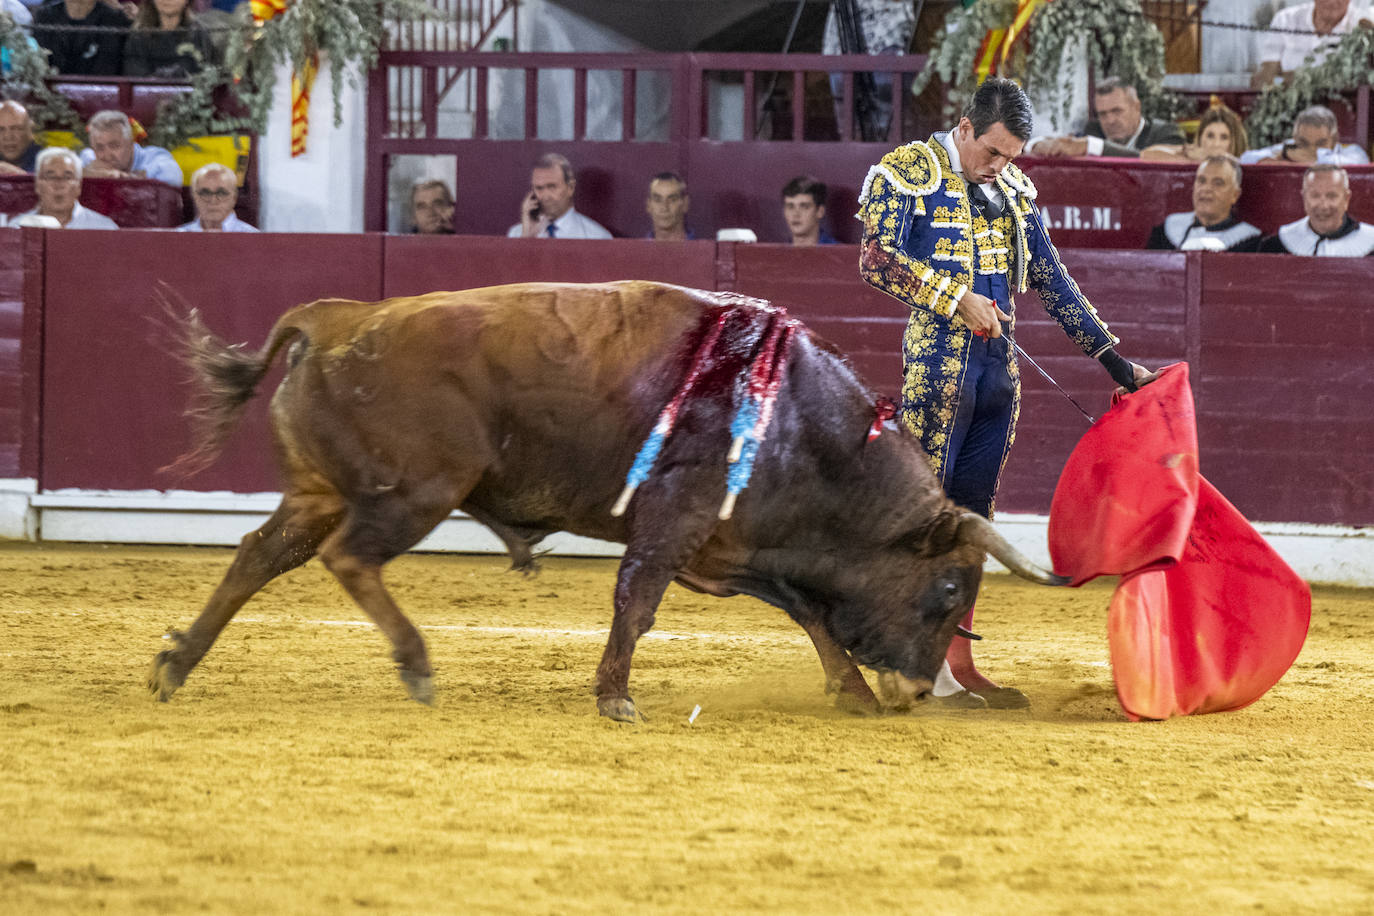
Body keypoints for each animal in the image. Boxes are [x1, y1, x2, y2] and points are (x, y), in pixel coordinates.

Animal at [147, 282, 1060, 719]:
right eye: (949, 589)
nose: (917, 691)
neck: (803, 422)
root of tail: (335, 320)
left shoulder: (727, 545)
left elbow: (806, 611)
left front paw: (854, 693)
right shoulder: (675, 523)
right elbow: (638, 601)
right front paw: (616, 697)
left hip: (315, 492)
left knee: (259, 555)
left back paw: (175, 663)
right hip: (412, 493)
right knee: (348, 558)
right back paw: (416, 665)